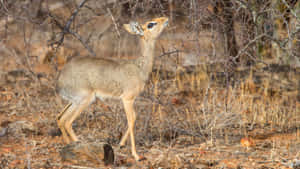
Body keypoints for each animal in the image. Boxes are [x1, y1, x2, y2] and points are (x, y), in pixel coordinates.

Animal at [56, 16, 169, 160]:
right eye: (151, 24)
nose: (165, 19)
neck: (139, 67)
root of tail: (60, 80)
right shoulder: (127, 99)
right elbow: (132, 120)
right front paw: (136, 155)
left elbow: (133, 118)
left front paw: (120, 144)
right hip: (85, 100)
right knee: (67, 122)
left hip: (74, 101)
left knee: (60, 117)